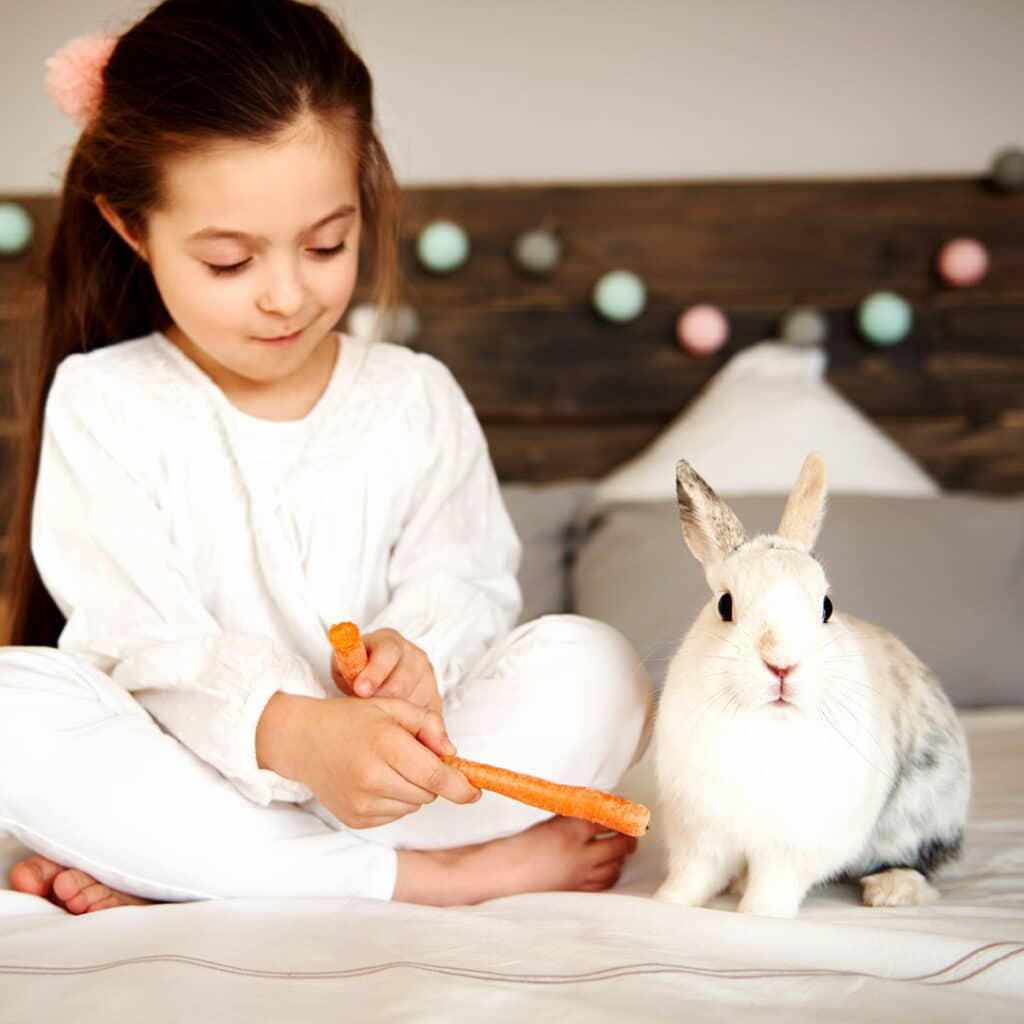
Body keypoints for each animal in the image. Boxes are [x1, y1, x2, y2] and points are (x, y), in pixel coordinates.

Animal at [655, 452, 966, 917]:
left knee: (917, 864)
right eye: (725, 605)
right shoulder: (699, 835)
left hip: (919, 817)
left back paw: (889, 891)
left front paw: (759, 914)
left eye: (826, 607)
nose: (782, 664)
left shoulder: (790, 848)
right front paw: (668, 903)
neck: (766, 723)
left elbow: (774, 883)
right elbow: (693, 876)